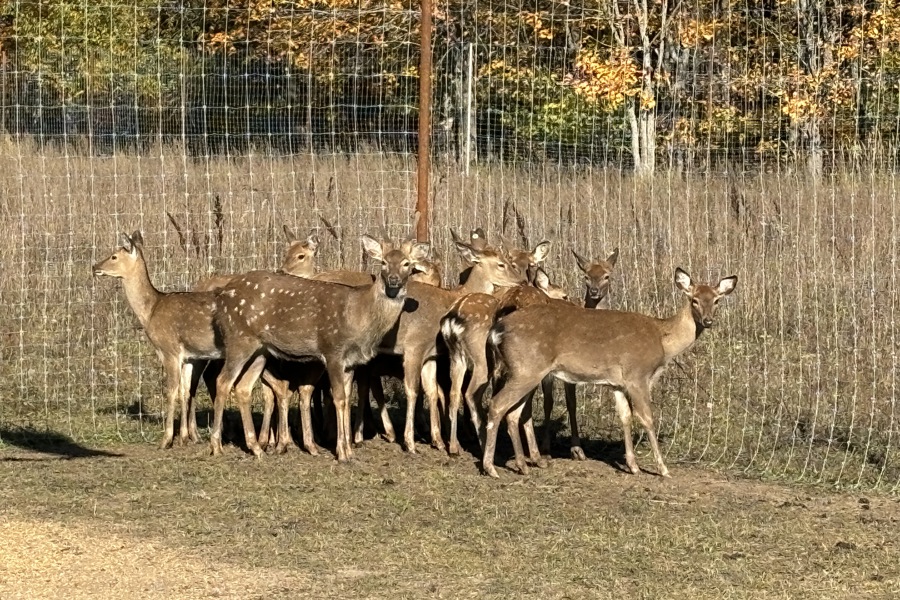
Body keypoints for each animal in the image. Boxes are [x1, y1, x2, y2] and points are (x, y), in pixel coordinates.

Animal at [209, 234, 428, 460]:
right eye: (383, 262)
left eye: (407, 264)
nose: (393, 280)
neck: (360, 316)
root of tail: (221, 297)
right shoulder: (332, 350)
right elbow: (338, 398)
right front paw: (342, 453)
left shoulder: (350, 362)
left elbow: (346, 398)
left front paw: (348, 448)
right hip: (238, 338)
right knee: (223, 381)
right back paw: (217, 446)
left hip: (260, 350)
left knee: (243, 387)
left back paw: (256, 448)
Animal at [482, 268, 736, 478]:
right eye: (694, 300)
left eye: (716, 300)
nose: (708, 321)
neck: (663, 340)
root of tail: (496, 329)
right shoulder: (637, 375)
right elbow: (647, 418)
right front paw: (663, 469)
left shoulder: (617, 384)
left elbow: (625, 417)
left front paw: (632, 466)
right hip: (527, 369)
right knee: (497, 405)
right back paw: (491, 467)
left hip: (525, 371)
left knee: (513, 413)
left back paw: (522, 465)